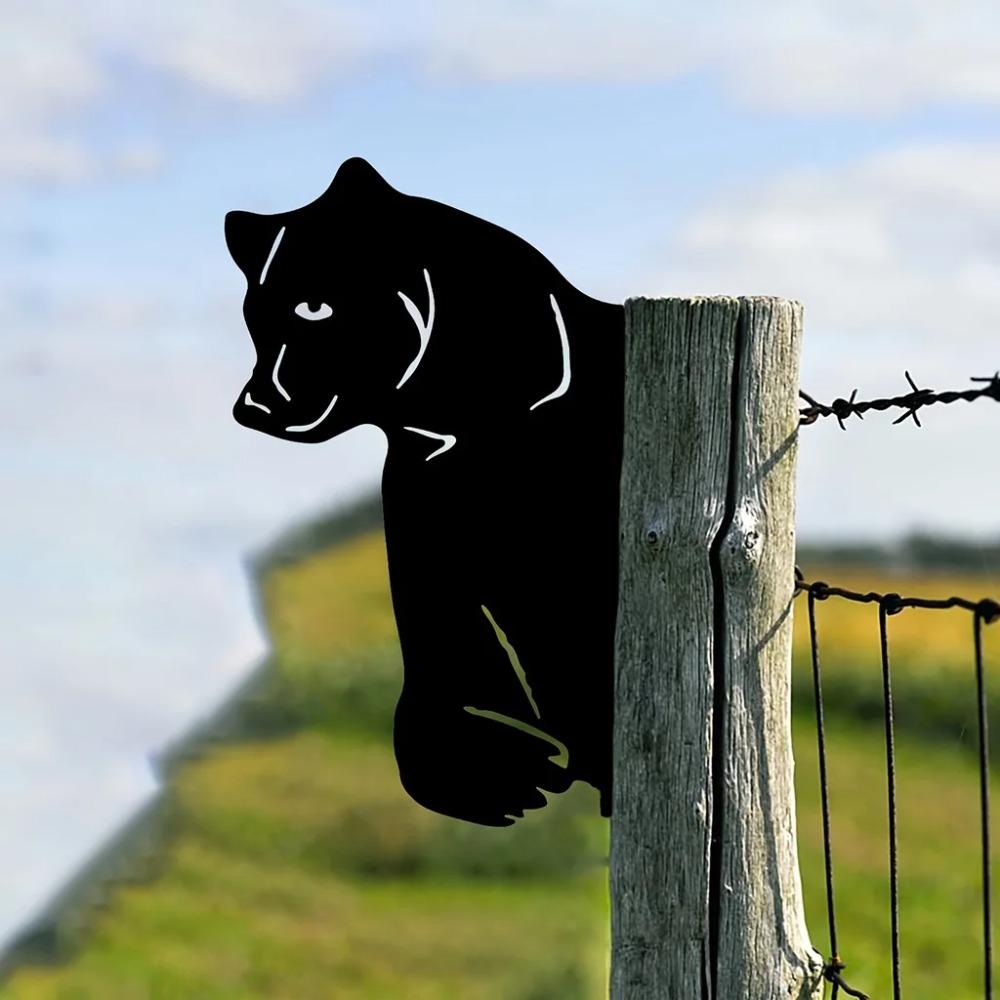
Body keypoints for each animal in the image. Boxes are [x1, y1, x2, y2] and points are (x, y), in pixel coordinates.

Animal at [225, 158, 624, 826]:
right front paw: (507, 776)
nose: (251, 405)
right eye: (254, 315)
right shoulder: (429, 551)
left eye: (312, 306)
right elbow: (454, 670)